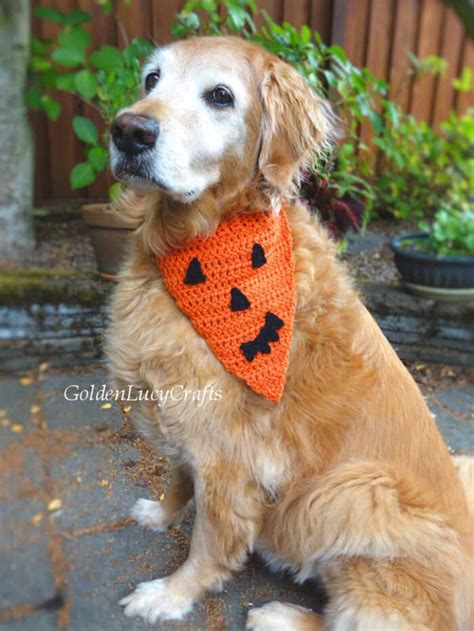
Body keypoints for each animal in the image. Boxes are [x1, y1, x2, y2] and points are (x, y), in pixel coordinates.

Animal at [106, 37, 474, 628]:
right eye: (151, 80)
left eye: (221, 95)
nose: (129, 131)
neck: (202, 239)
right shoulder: (188, 419)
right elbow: (178, 478)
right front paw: (160, 515)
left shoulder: (230, 455)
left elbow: (209, 543)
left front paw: (170, 594)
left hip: (353, 490)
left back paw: (278, 614)